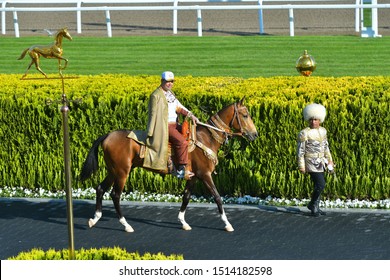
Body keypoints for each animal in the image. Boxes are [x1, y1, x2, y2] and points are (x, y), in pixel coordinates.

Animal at [79, 97, 258, 233]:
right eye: (245, 115)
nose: (255, 134)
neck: (205, 138)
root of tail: (108, 135)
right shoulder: (205, 175)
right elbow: (217, 197)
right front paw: (227, 223)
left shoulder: (193, 177)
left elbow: (186, 196)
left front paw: (183, 221)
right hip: (122, 172)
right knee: (115, 195)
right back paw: (126, 224)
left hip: (113, 171)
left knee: (100, 188)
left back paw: (95, 219)